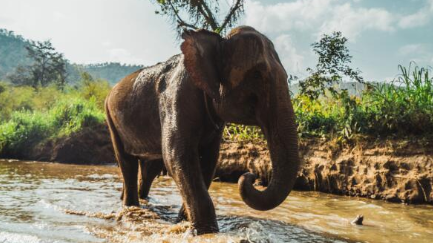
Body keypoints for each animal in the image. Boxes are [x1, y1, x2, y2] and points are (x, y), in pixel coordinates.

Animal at [104, 25, 300, 234]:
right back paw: (130, 207)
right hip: (111, 118)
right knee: (127, 163)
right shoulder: (176, 97)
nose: (251, 175)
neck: (218, 41)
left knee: (149, 168)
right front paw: (205, 232)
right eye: (257, 74)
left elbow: (208, 160)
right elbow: (177, 156)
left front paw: (184, 222)